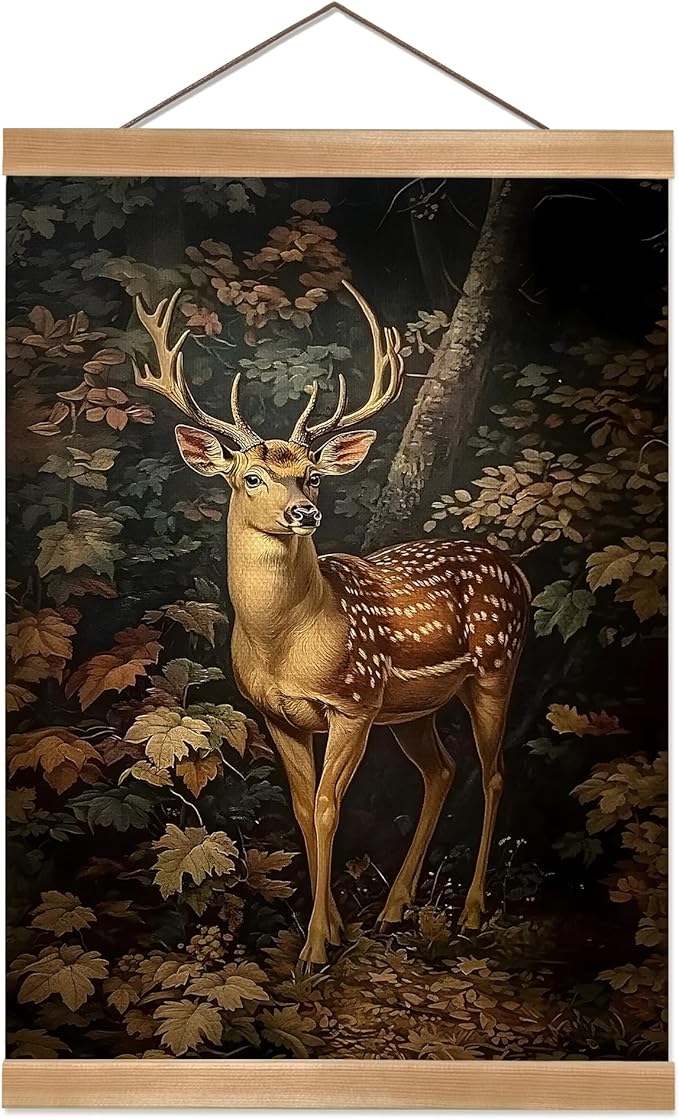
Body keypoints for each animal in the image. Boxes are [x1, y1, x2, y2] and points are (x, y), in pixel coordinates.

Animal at [132, 284, 530, 967]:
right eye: (251, 476)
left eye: (311, 474)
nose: (304, 511)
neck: (285, 644)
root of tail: (517, 572)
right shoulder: (278, 715)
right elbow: (299, 809)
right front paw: (336, 929)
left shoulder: (353, 703)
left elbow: (325, 807)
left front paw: (316, 946)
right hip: (414, 707)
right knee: (441, 771)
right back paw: (395, 907)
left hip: (495, 668)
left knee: (496, 774)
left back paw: (473, 911)